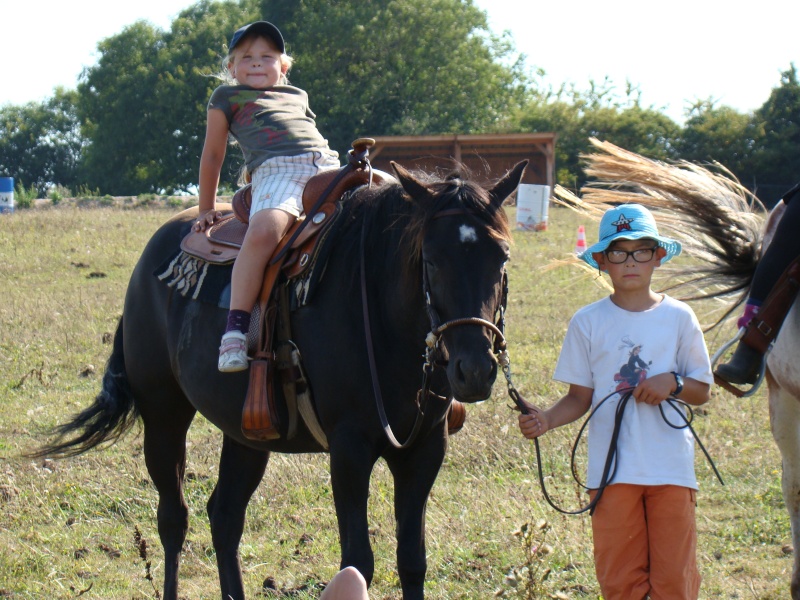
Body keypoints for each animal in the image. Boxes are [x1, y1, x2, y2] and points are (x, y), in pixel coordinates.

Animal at [36, 161, 524, 600]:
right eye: (431, 259)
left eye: (502, 256)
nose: (474, 369)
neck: (377, 308)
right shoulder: (349, 449)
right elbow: (357, 563)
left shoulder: (425, 450)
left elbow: (412, 561)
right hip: (164, 416)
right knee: (174, 517)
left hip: (248, 433)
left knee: (225, 516)